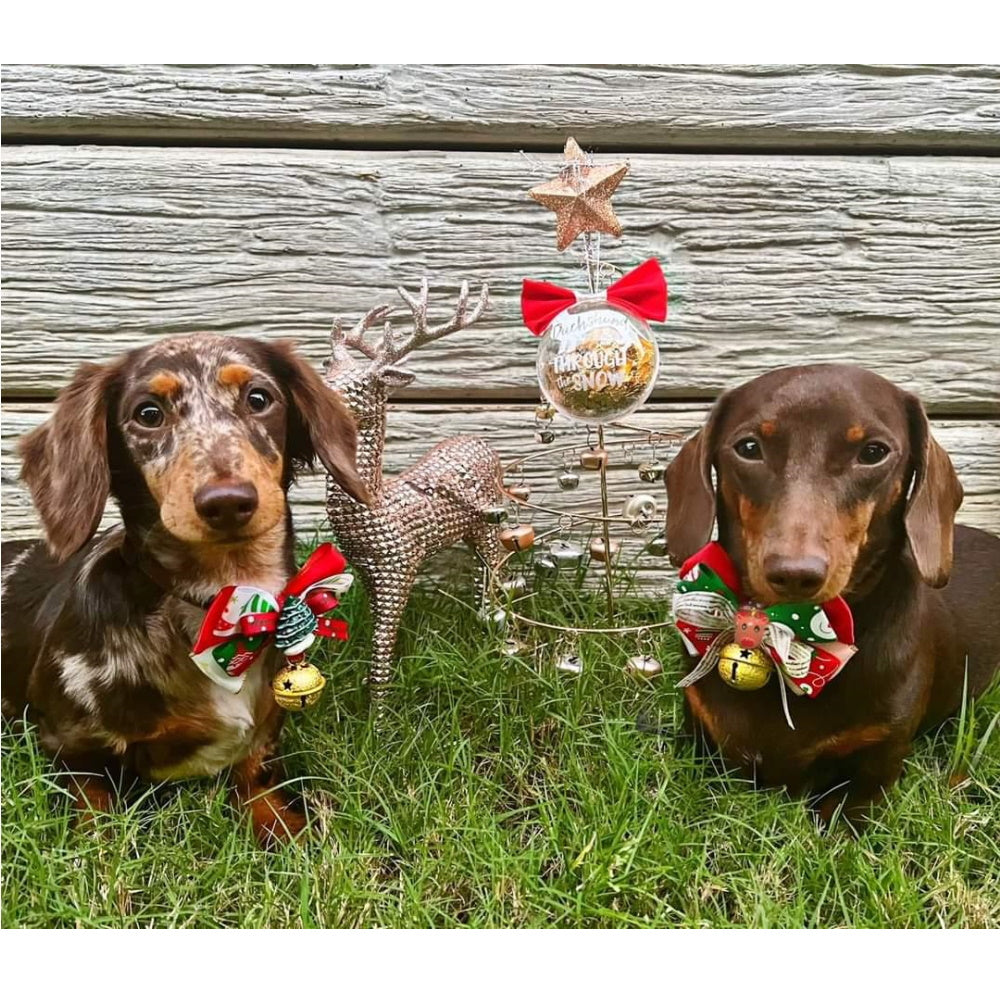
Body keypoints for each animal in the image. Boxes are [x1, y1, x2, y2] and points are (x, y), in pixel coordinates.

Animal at [1, 334, 370, 844]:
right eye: (148, 413)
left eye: (259, 398)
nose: (227, 502)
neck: (225, 605)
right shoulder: (69, 743)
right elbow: (94, 808)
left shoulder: (262, 739)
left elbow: (257, 783)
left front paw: (287, 830)